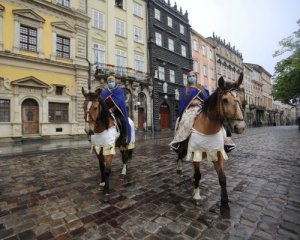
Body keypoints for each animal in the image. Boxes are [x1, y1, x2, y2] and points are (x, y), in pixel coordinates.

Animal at [177, 73, 245, 206]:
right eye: (225, 100)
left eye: (241, 98)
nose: (240, 127)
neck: (208, 128)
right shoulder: (196, 154)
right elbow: (198, 175)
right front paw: (197, 196)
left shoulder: (218, 154)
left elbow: (222, 178)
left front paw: (225, 200)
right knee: (179, 155)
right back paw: (179, 168)